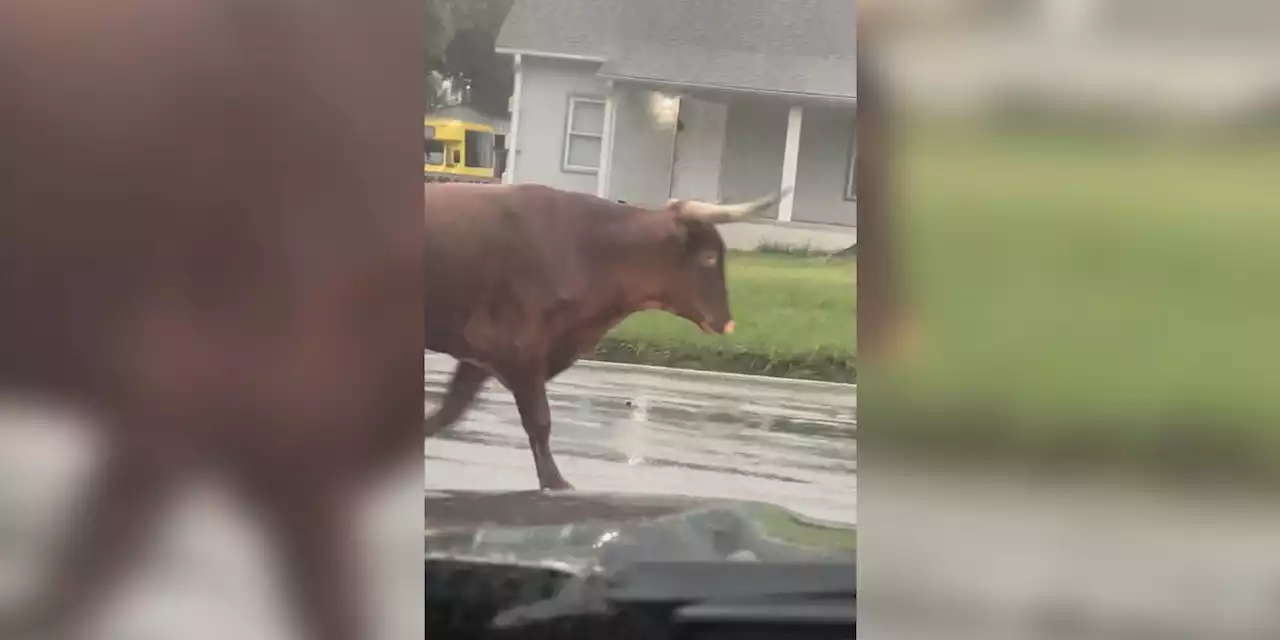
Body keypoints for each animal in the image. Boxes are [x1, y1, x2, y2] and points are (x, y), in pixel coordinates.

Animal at [422, 184, 778, 488]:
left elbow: (448, 411)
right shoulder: (519, 349)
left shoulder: (482, 355)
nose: (727, 322)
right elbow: (539, 421)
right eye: (708, 256)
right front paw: (555, 483)